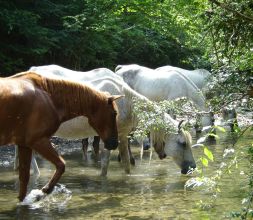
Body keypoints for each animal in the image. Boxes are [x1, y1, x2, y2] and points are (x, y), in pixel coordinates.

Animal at [0, 72, 122, 201]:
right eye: (114, 113)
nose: (114, 143)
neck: (50, 99)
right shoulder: (38, 141)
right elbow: (61, 165)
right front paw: (46, 189)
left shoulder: (24, 144)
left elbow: (24, 178)